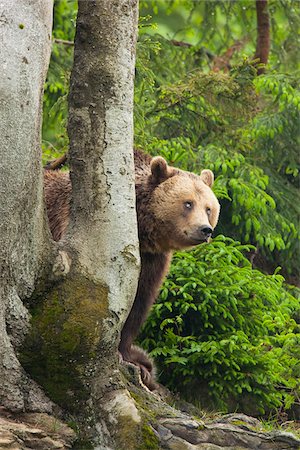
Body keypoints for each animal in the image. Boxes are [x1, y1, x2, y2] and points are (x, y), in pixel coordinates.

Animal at [43, 149, 219, 388]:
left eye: (208, 208)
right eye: (188, 203)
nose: (205, 230)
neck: (141, 230)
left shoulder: (152, 260)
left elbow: (139, 301)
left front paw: (134, 361)